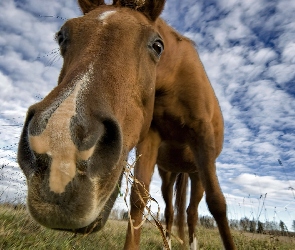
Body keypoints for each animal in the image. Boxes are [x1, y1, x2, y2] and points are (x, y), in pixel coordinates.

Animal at [17, 0, 236, 250]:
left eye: (158, 45)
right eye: (62, 37)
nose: (61, 153)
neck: (174, 77)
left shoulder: (202, 136)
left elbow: (217, 204)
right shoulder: (150, 137)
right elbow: (139, 199)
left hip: (197, 172)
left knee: (191, 212)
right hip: (169, 174)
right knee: (172, 210)